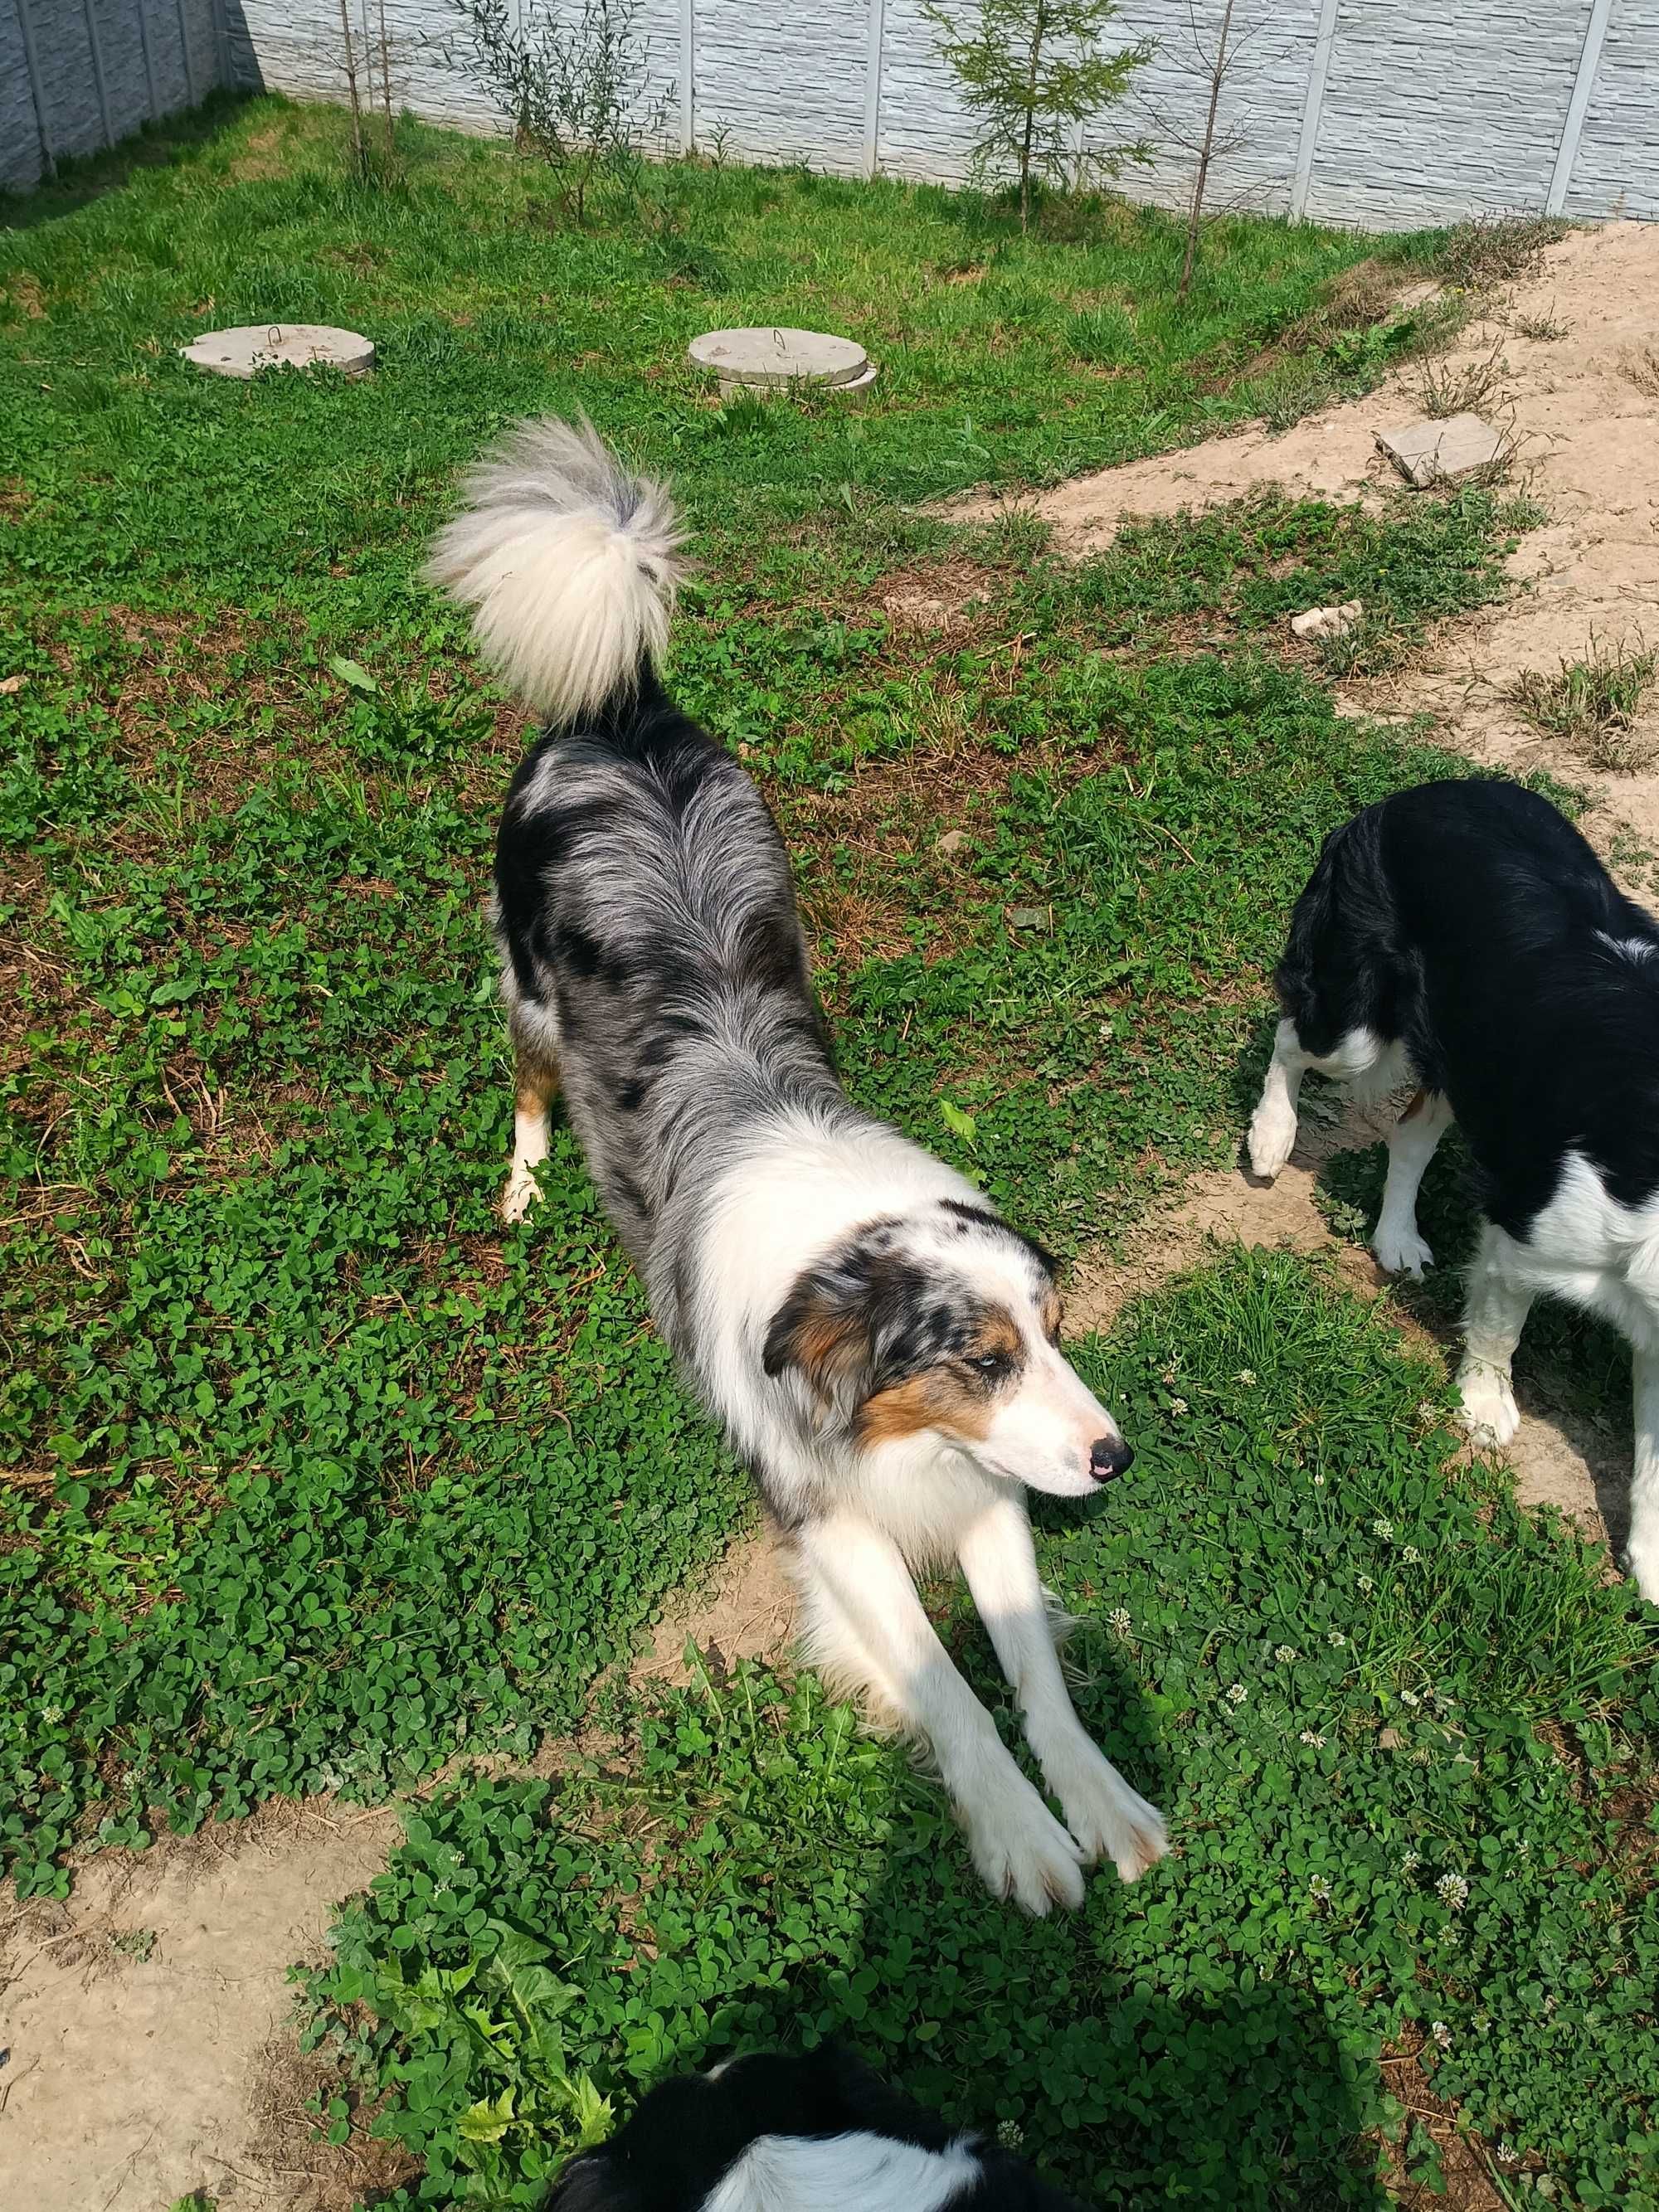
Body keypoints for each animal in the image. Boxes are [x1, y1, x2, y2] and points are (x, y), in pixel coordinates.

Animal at [429, 422, 1168, 1911]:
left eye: (1056, 1332)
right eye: (980, 1356)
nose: (1116, 1456)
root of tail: (620, 708)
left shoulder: (980, 1480)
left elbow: (1034, 1668)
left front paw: (1096, 1795)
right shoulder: (825, 1511)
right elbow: (946, 1680)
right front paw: (1015, 1831)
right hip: (525, 985)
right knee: (525, 1077)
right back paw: (525, 1181)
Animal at [1256, 770, 1659, 1601]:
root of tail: (1416, 794)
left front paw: (1652, 1560)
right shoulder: (1524, 1234)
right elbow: (1500, 1331)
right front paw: (1482, 1407)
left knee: (1410, 1130)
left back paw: (1398, 1238)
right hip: (1355, 1020)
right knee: (1290, 1037)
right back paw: (1269, 1137)